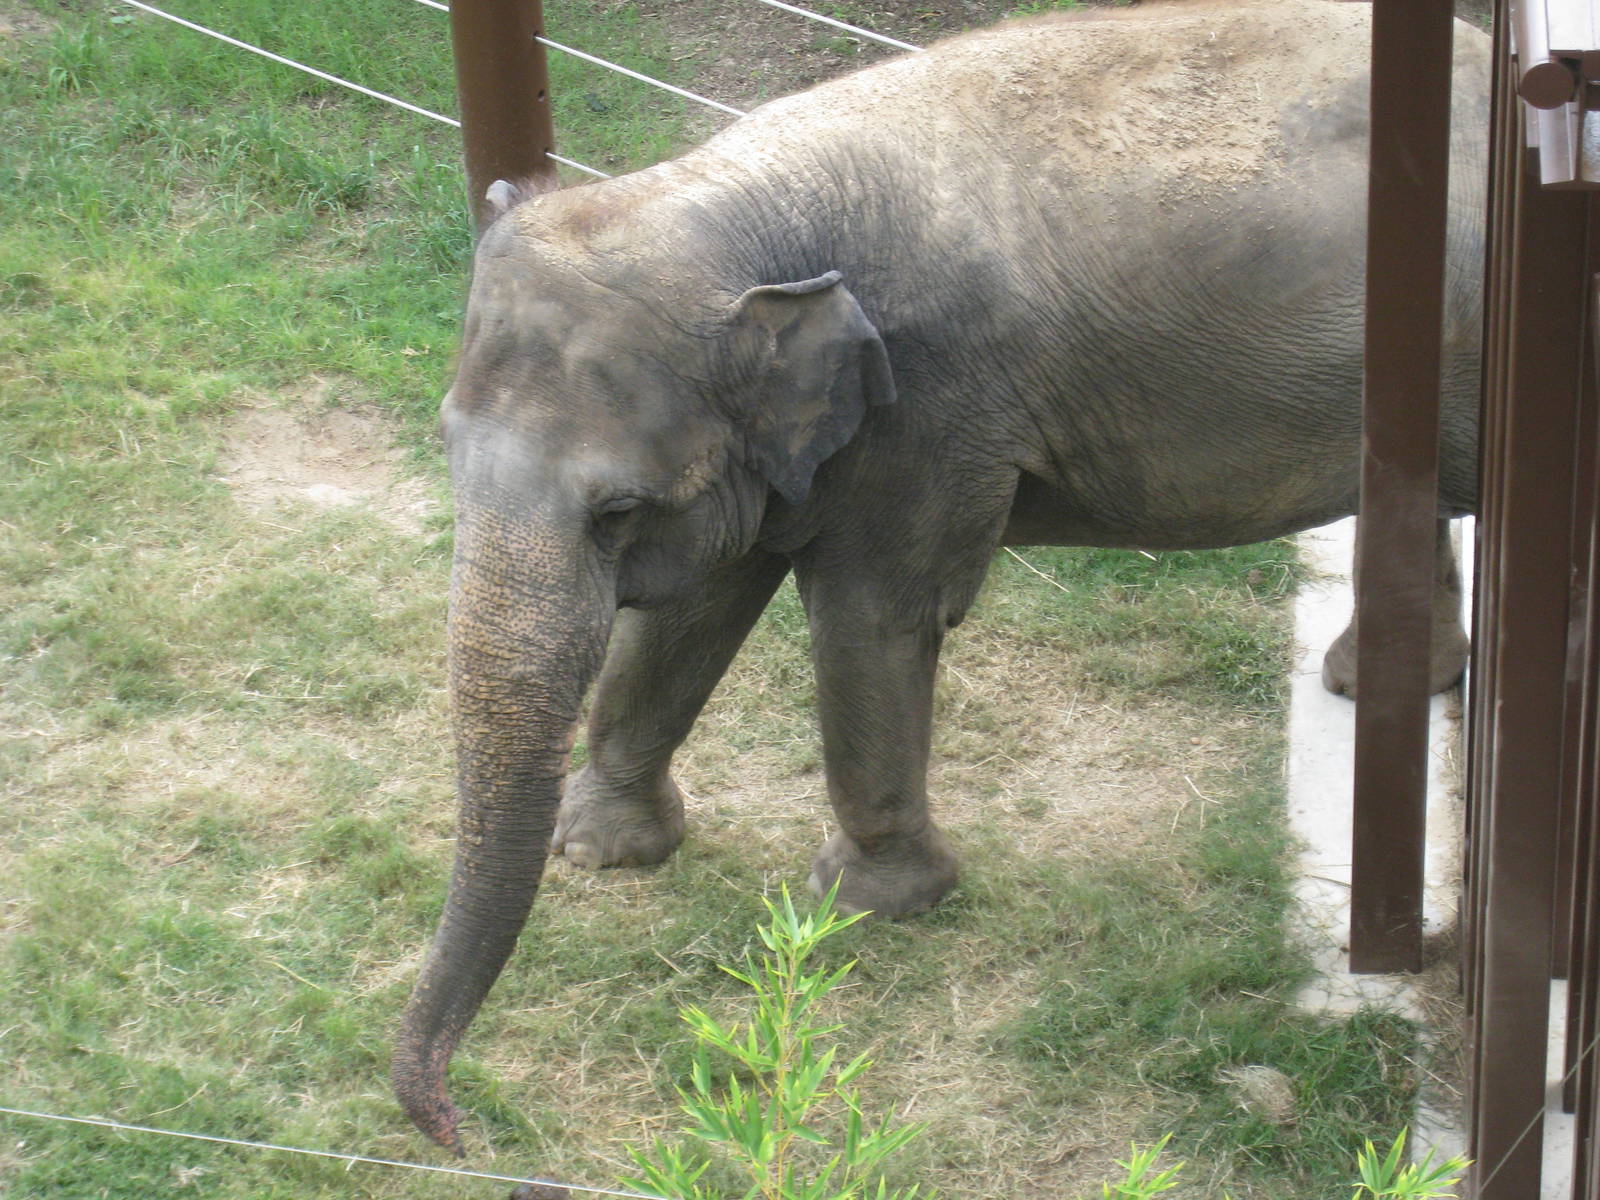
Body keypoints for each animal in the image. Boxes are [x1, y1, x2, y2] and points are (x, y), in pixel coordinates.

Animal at [392, 0, 1487, 1151]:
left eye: (615, 513)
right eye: (445, 447)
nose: (459, 1128)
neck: (738, 204)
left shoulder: (923, 406)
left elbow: (871, 613)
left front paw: (867, 904)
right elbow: (699, 606)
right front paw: (602, 852)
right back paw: (1378, 680)